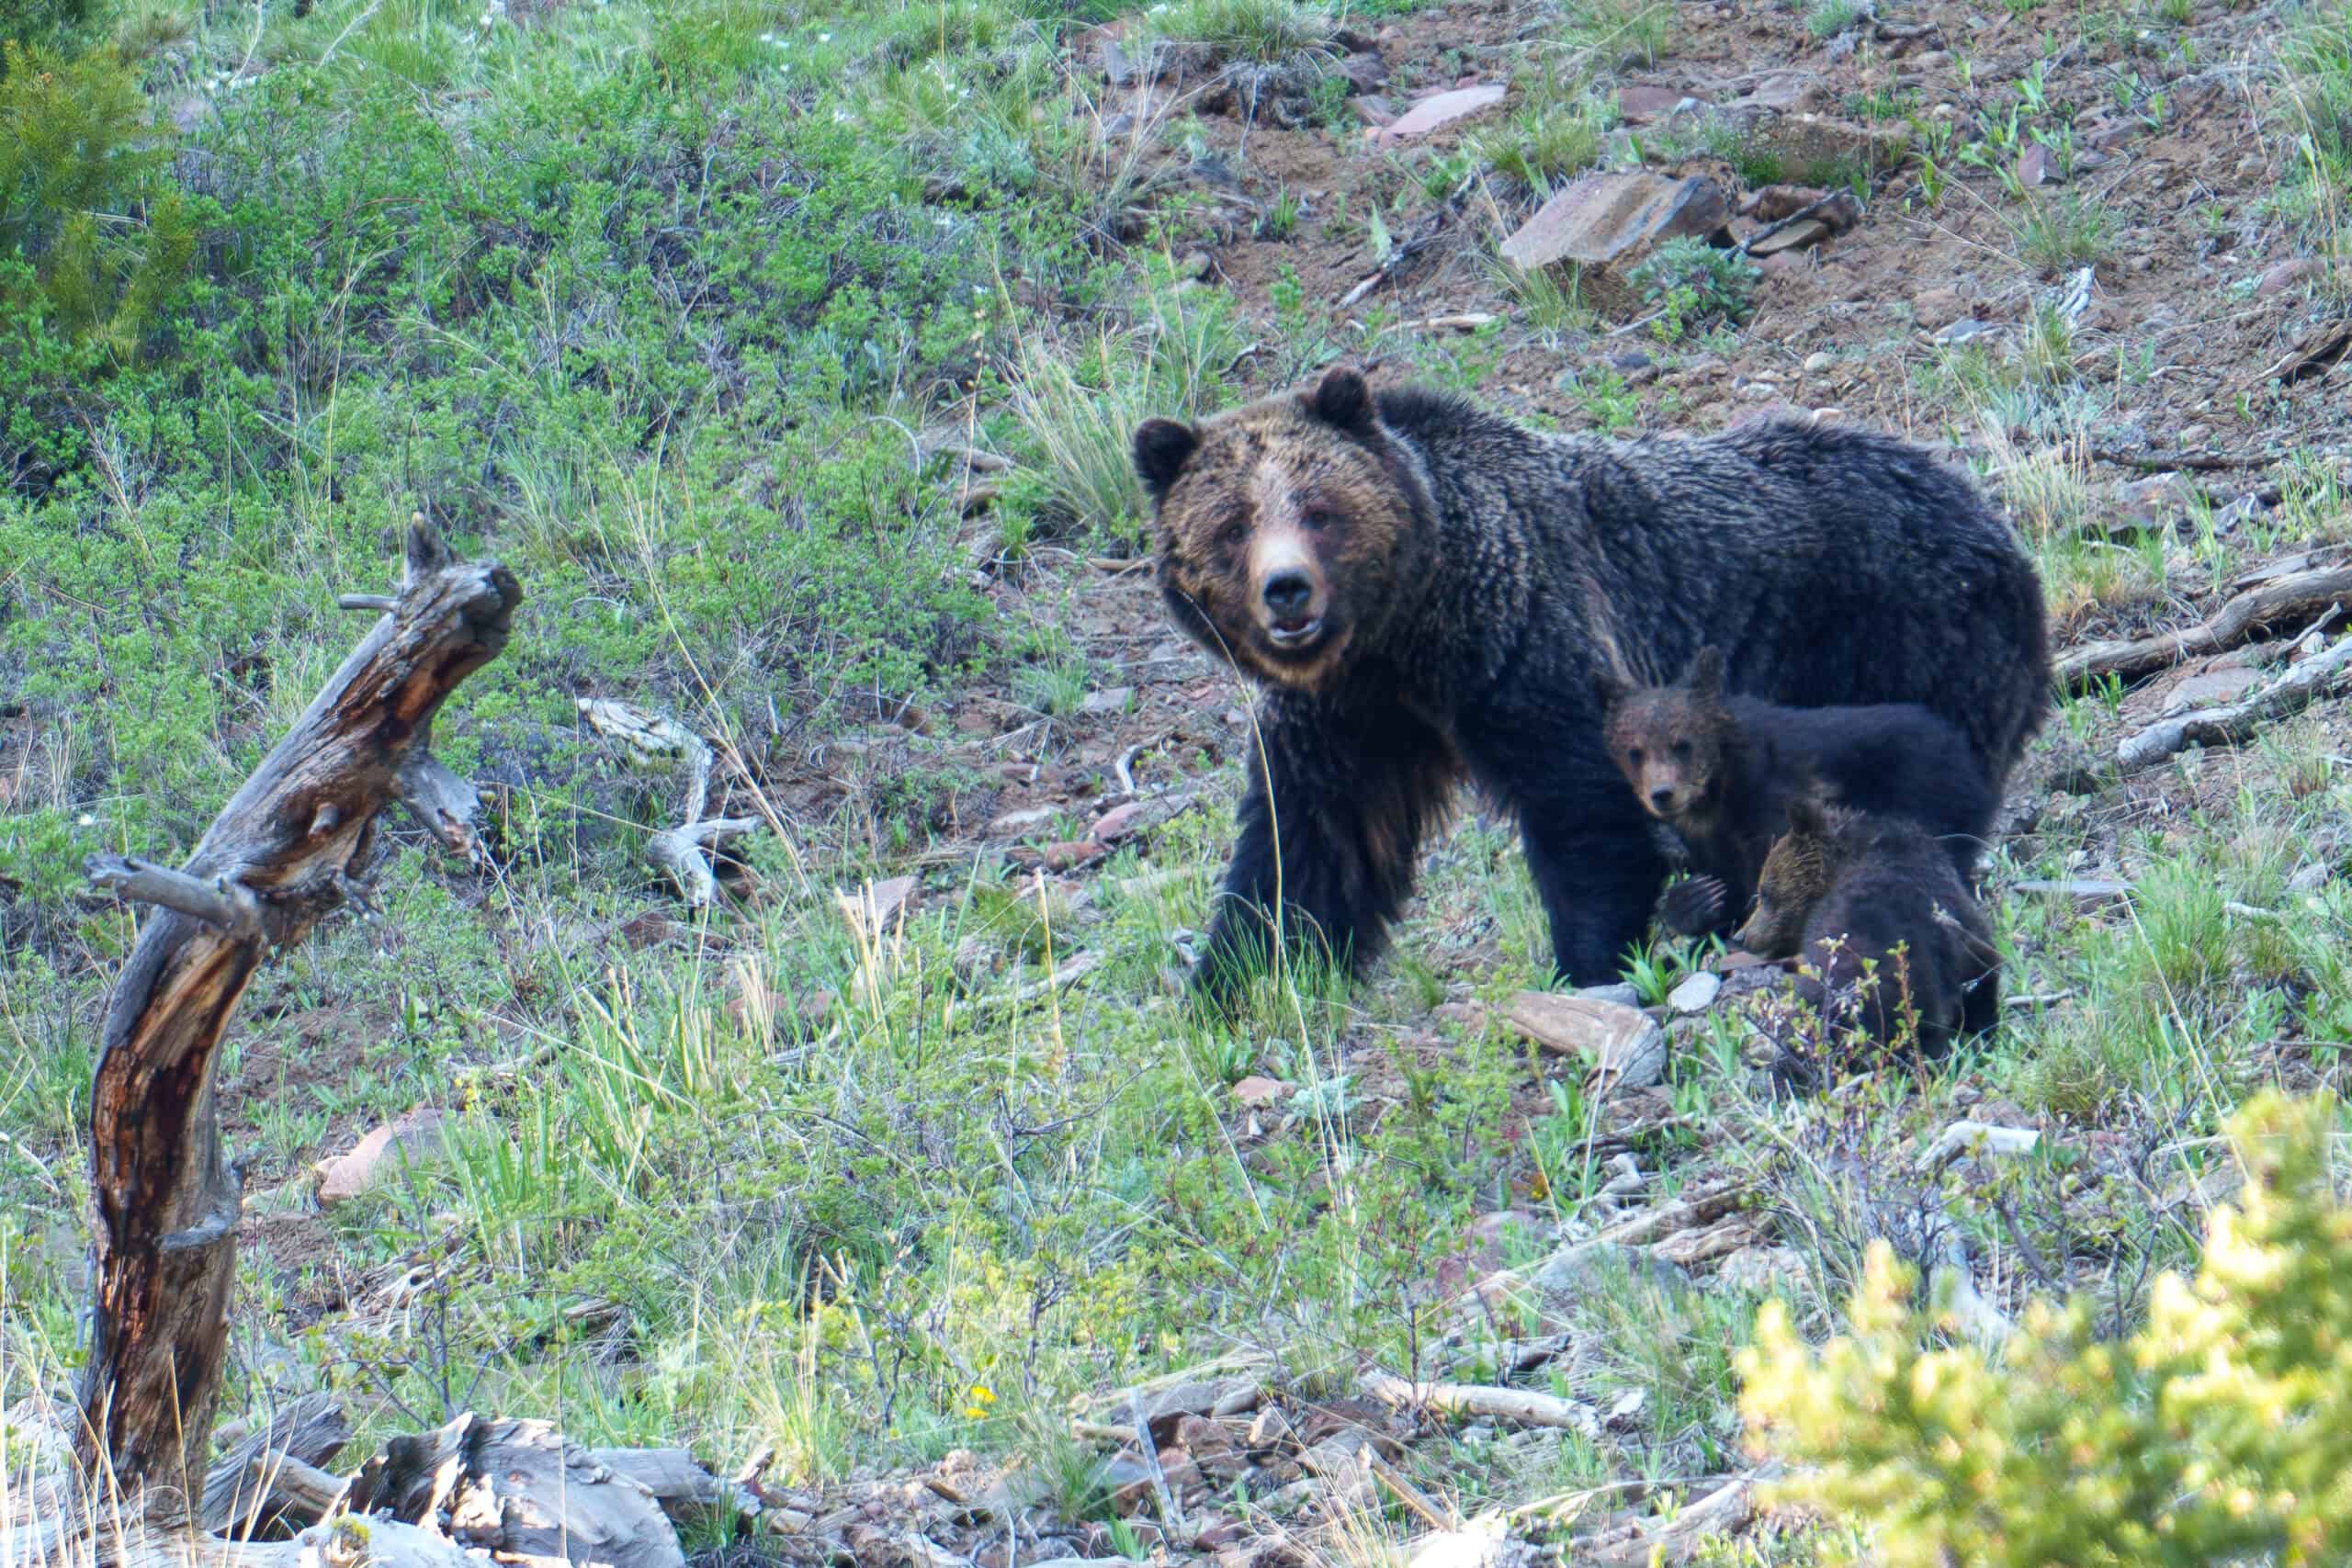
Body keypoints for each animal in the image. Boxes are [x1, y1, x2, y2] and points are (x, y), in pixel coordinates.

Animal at [1596, 645, 1998, 940]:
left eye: (1683, 744)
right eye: (1635, 751)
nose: (1662, 794)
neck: (1714, 793)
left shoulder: (1769, 795)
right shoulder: (1706, 835)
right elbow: (1720, 879)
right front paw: (1697, 899)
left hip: (1927, 790)